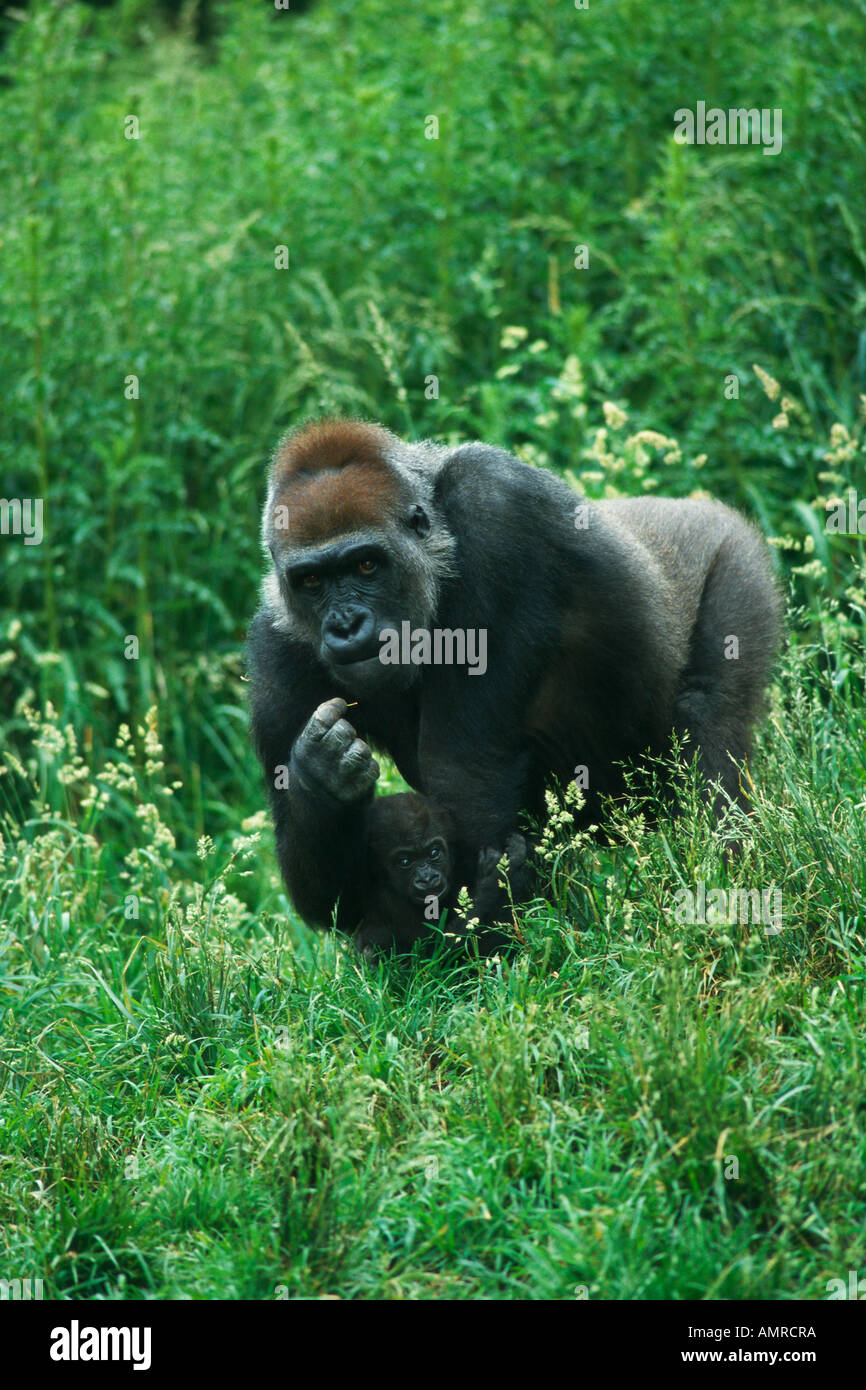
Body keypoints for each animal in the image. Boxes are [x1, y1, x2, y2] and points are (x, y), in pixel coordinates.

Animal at [354, 795, 528, 956]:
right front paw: (500, 871)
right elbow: (437, 952)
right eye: (404, 861)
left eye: (434, 852)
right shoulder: (389, 901)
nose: (427, 878)